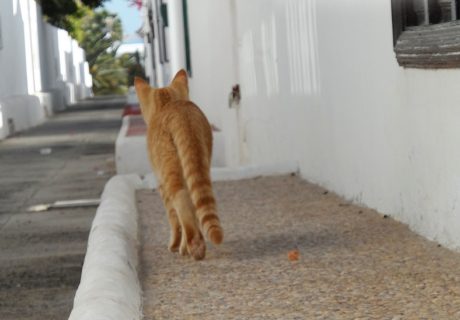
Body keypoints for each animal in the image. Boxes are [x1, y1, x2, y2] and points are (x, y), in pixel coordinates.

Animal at [135, 70, 223, 260]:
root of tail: (180, 112)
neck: (166, 103)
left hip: (171, 173)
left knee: (182, 203)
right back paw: (194, 246)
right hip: (199, 165)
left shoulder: (161, 185)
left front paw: (175, 244)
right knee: (195, 204)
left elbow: (174, 219)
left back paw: (193, 246)